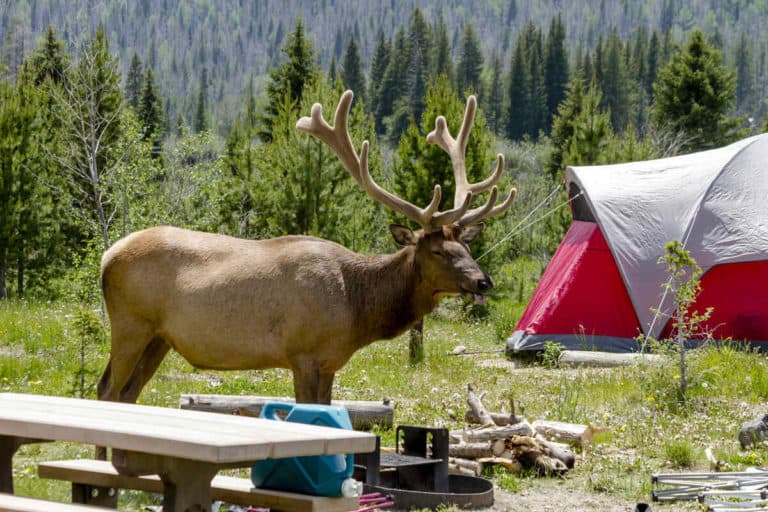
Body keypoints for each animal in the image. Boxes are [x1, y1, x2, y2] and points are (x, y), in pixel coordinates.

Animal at [97, 89, 516, 408]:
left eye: (466, 246)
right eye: (438, 252)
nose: (483, 282)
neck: (357, 308)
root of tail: (106, 257)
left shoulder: (330, 361)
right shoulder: (302, 354)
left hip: (159, 338)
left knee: (128, 393)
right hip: (131, 324)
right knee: (107, 389)